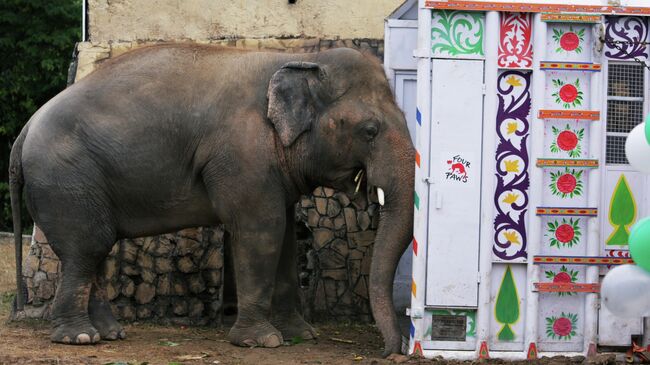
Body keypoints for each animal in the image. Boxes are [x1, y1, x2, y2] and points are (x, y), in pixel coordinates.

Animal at [10, 43, 412, 356]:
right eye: (370, 130)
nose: (388, 353)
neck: (299, 58)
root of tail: (25, 130)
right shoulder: (241, 153)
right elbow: (261, 229)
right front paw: (261, 342)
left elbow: (284, 235)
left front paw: (301, 336)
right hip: (66, 179)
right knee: (87, 248)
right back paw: (79, 338)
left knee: (95, 249)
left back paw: (110, 334)